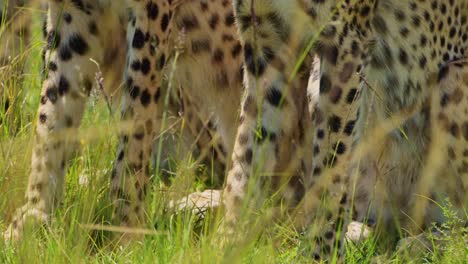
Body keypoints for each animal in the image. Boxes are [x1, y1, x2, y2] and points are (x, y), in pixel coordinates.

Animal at [225, 0, 466, 260]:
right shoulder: (265, 39)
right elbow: (245, 157)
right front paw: (226, 244)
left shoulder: (344, 41)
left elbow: (330, 171)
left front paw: (321, 255)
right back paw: (361, 233)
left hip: (452, 76)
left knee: (457, 229)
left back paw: (416, 245)